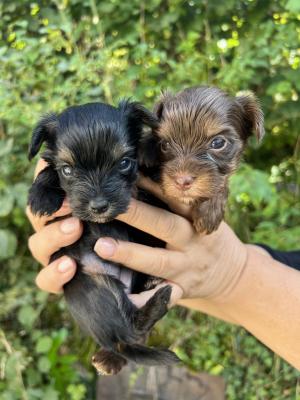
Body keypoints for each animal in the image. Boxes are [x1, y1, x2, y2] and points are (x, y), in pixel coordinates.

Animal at [28, 100, 178, 376]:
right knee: (130, 330)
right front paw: (41, 195)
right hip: (94, 283)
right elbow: (48, 169)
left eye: (124, 162)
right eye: (67, 170)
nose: (99, 206)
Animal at [141, 86, 264, 233]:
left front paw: (211, 210)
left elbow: (222, 184)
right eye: (165, 144)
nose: (182, 181)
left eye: (218, 143)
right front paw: (145, 147)